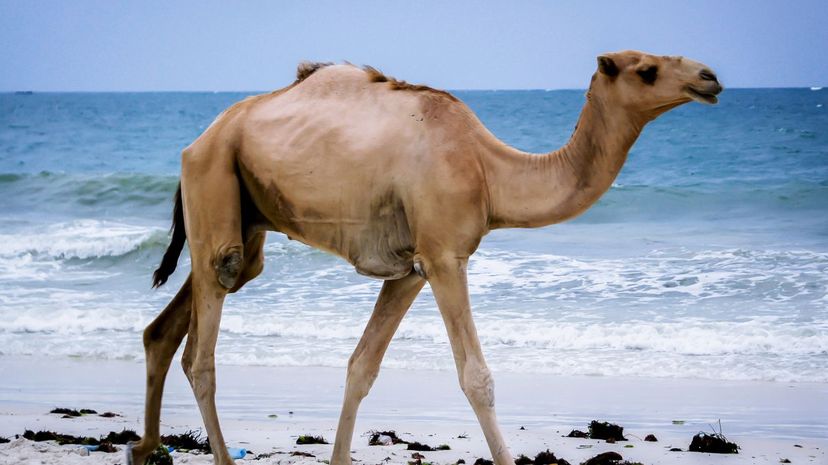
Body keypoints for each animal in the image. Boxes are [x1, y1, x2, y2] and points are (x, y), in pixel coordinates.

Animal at [126, 50, 720, 464]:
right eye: (646, 70)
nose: (710, 78)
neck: (488, 171)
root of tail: (198, 140)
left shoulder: (410, 269)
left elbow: (361, 367)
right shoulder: (444, 256)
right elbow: (476, 377)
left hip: (243, 217)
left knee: (166, 329)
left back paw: (145, 448)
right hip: (213, 183)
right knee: (202, 348)